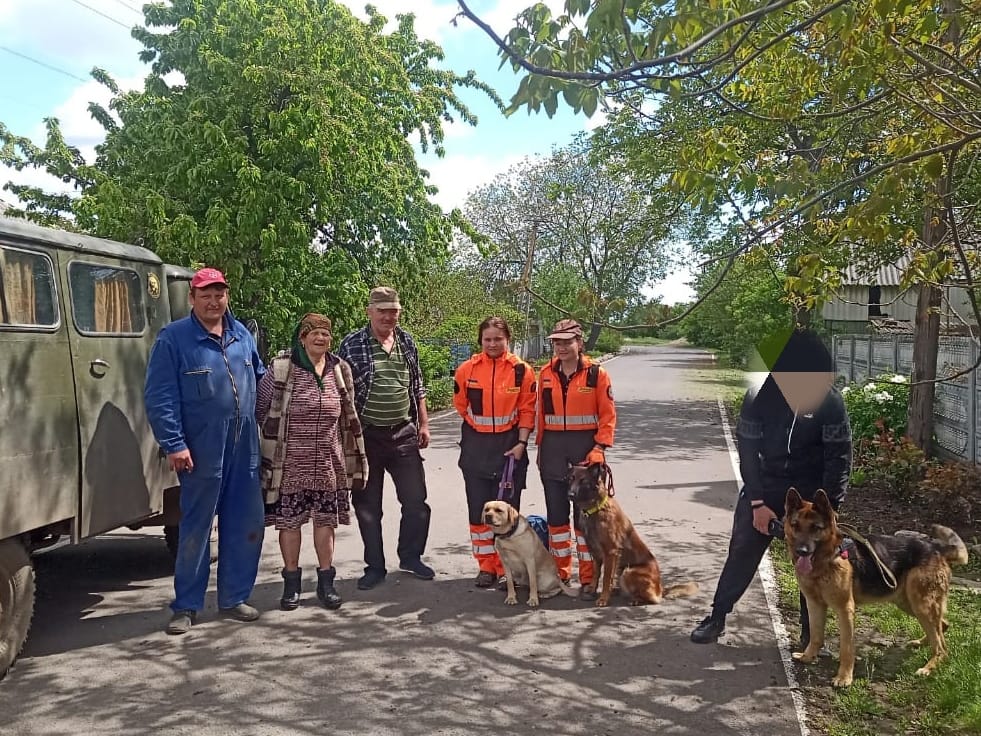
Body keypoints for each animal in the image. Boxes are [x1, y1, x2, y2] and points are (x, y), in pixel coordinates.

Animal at [568, 462, 696, 608]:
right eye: (571, 479)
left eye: (583, 481)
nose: (570, 494)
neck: (596, 509)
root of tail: (660, 588)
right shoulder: (595, 552)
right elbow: (596, 573)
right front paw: (592, 588)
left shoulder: (610, 552)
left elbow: (606, 578)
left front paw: (603, 598)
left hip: (628, 571)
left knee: (654, 599)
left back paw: (635, 599)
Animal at [780, 486, 964, 688]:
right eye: (796, 525)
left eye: (816, 528)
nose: (802, 551)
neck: (827, 559)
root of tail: (937, 549)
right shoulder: (814, 604)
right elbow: (815, 635)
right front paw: (807, 657)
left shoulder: (845, 609)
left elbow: (846, 647)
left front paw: (844, 678)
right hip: (908, 603)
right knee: (943, 626)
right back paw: (922, 643)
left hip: (920, 605)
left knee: (942, 646)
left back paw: (929, 667)